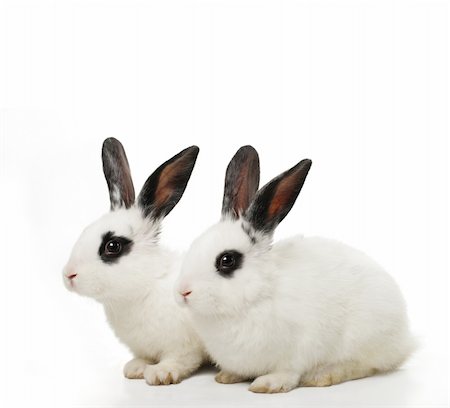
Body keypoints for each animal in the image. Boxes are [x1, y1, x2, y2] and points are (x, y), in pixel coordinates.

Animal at [62, 139, 206, 384]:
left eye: (112, 246)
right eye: (85, 230)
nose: (68, 275)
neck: (147, 285)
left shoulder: (184, 346)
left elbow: (181, 360)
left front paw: (161, 373)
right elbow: (143, 357)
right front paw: (135, 368)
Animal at [176, 146, 414, 392]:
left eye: (227, 260)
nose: (182, 292)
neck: (258, 295)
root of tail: (406, 338)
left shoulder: (298, 348)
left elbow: (288, 372)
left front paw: (268, 384)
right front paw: (227, 376)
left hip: (364, 337)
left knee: (364, 365)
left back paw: (323, 376)